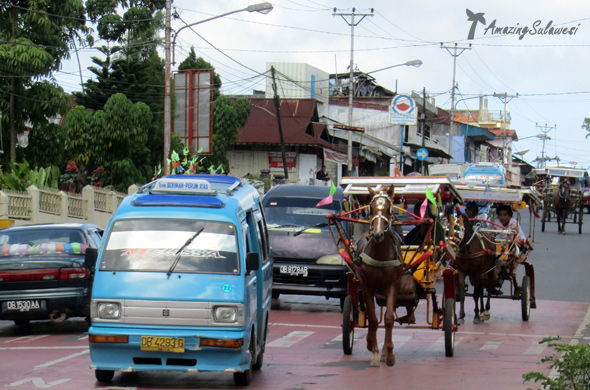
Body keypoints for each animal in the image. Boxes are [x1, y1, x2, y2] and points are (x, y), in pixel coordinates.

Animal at [354, 185, 404, 366]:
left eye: (389, 208)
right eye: (371, 208)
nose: (377, 234)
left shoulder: (393, 285)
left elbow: (388, 318)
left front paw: (389, 354)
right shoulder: (366, 286)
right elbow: (374, 320)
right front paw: (375, 354)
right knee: (370, 317)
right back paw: (371, 343)